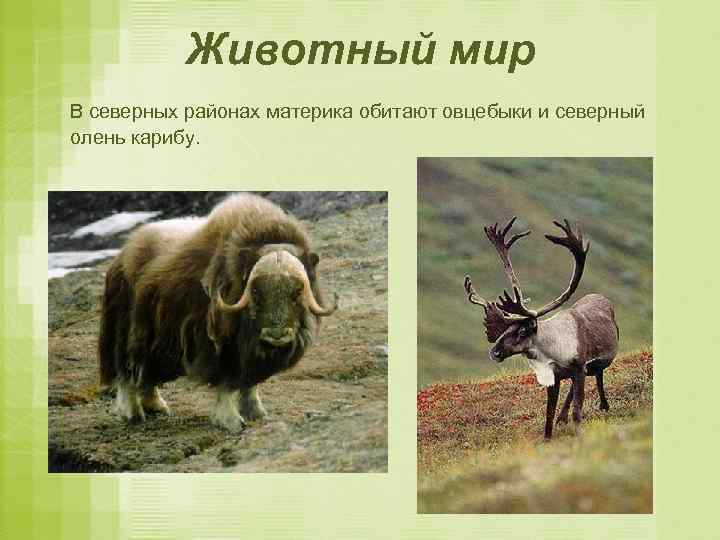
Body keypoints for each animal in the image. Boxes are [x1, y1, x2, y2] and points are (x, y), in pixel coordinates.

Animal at [464, 217, 619, 439]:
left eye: (522, 331)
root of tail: (601, 297)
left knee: (598, 376)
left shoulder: (579, 369)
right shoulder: (555, 378)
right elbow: (549, 412)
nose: (494, 352)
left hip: (597, 363)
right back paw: (562, 418)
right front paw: (548, 437)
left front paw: (578, 433)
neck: (551, 352)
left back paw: (604, 405)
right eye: (505, 330)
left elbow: (577, 410)